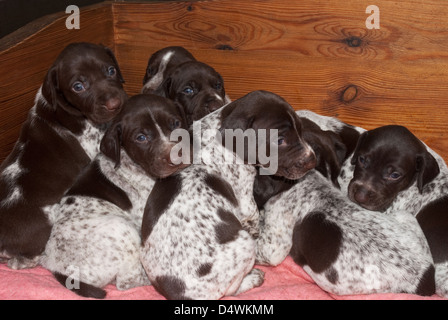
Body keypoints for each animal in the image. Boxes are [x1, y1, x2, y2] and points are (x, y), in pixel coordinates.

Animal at [39, 94, 190, 298]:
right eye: (141, 138)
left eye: (176, 123)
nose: (176, 156)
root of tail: (57, 270)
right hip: (124, 229)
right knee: (126, 282)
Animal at [140, 90, 316, 300]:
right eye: (280, 140)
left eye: (301, 130)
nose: (312, 160)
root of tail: (184, 295)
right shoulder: (247, 204)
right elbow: (254, 220)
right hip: (245, 245)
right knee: (230, 291)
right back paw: (252, 278)